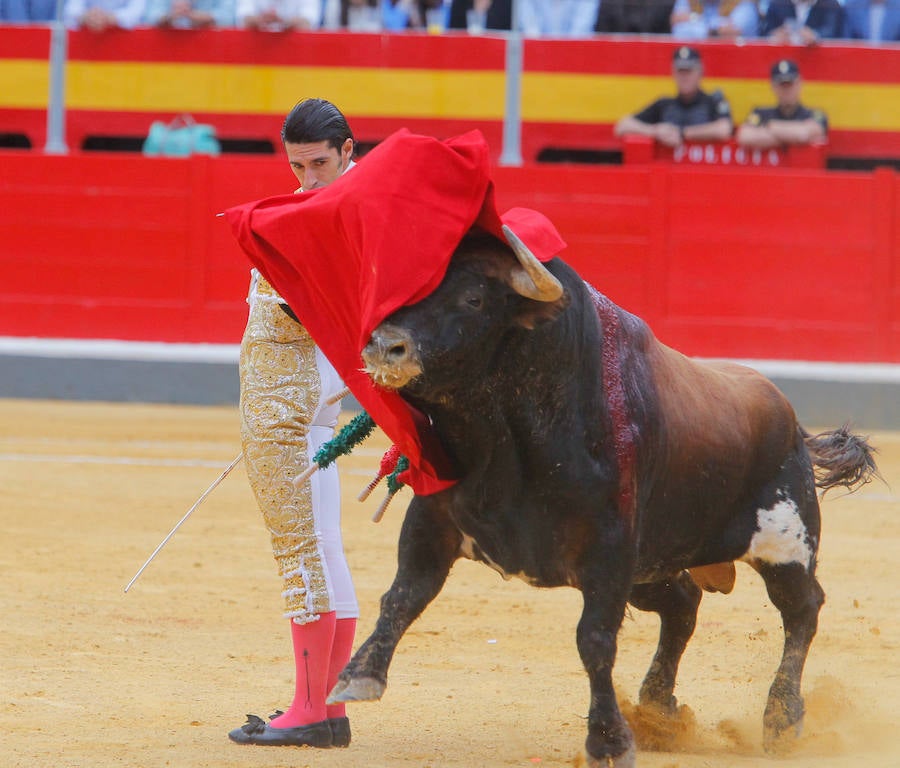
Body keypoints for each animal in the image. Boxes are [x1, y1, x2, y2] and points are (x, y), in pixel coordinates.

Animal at [326, 225, 876, 764]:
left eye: (474, 298)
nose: (384, 345)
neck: (508, 434)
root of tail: (792, 421)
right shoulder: (433, 518)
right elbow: (404, 595)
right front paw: (358, 676)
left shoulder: (609, 550)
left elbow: (594, 640)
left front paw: (608, 742)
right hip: (654, 565)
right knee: (684, 603)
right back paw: (657, 711)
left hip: (785, 544)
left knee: (801, 611)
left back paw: (781, 719)